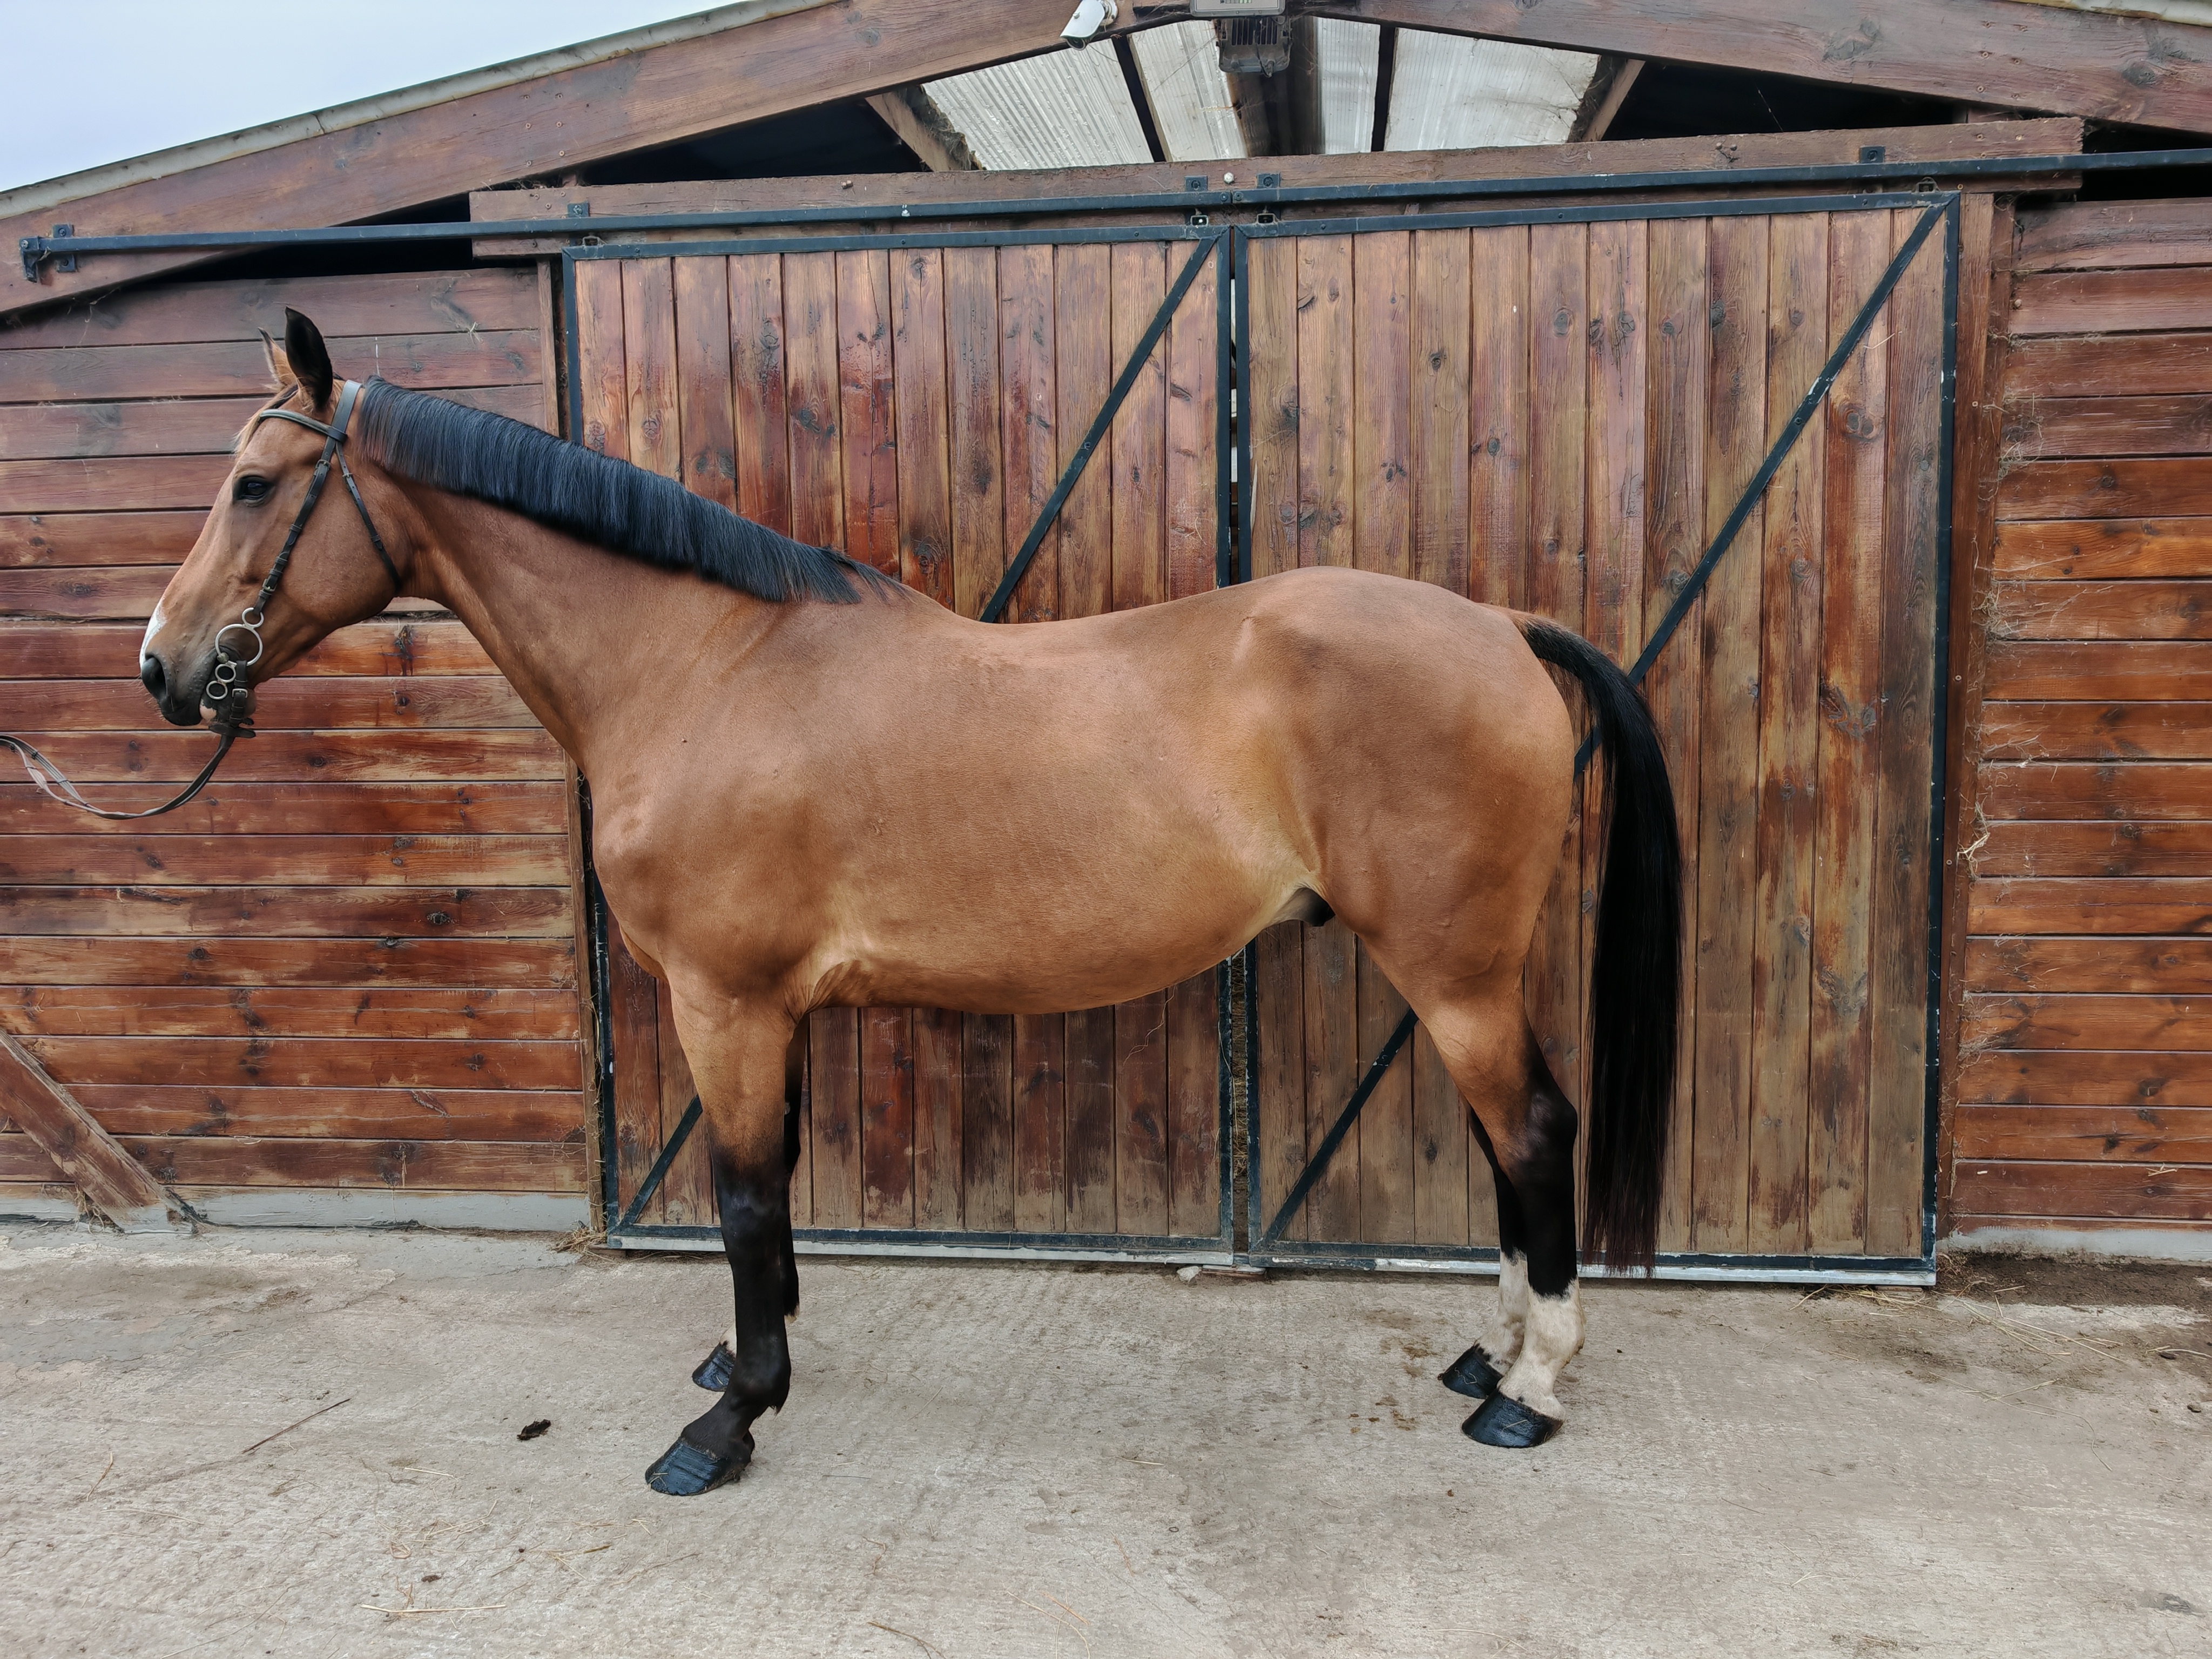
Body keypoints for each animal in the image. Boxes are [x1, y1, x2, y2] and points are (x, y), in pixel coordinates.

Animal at [131, 308, 1681, 1494]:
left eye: (255, 485)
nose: (162, 666)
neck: (706, 667)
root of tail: (1498, 629)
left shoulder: (725, 1002)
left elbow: (742, 1197)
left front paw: (726, 1422)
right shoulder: (774, 1011)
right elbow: (777, 1183)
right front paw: (748, 1356)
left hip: (1455, 974)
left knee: (1533, 1134)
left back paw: (1529, 1391)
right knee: (1508, 1149)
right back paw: (1490, 1353)